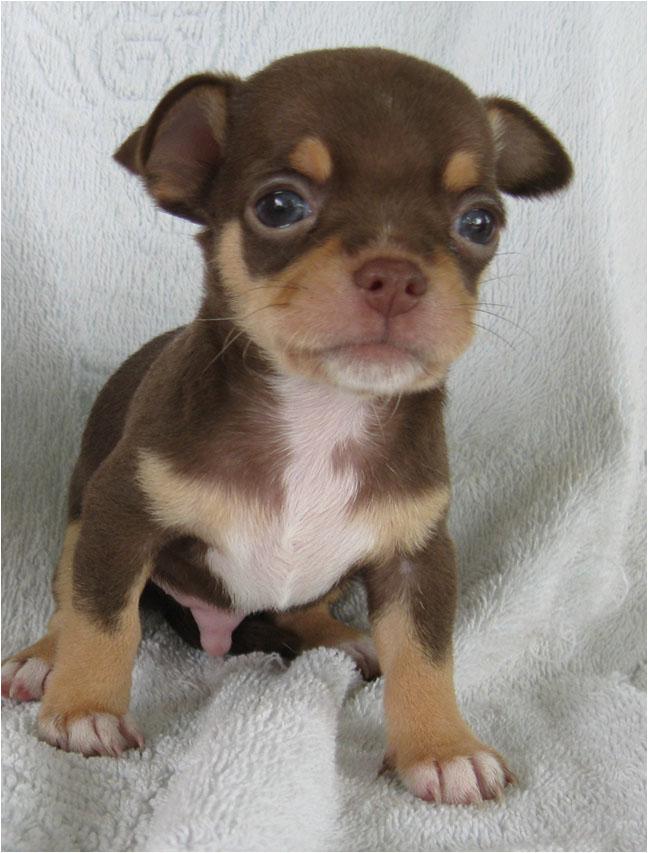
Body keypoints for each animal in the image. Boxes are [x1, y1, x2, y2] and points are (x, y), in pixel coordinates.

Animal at [2, 48, 572, 804]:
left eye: (481, 223)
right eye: (280, 207)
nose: (395, 274)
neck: (320, 408)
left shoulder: (418, 554)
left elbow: (427, 653)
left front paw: (443, 747)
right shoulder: (119, 515)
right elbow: (104, 618)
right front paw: (86, 709)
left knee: (305, 609)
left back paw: (341, 636)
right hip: (79, 520)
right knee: (69, 598)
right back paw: (43, 659)